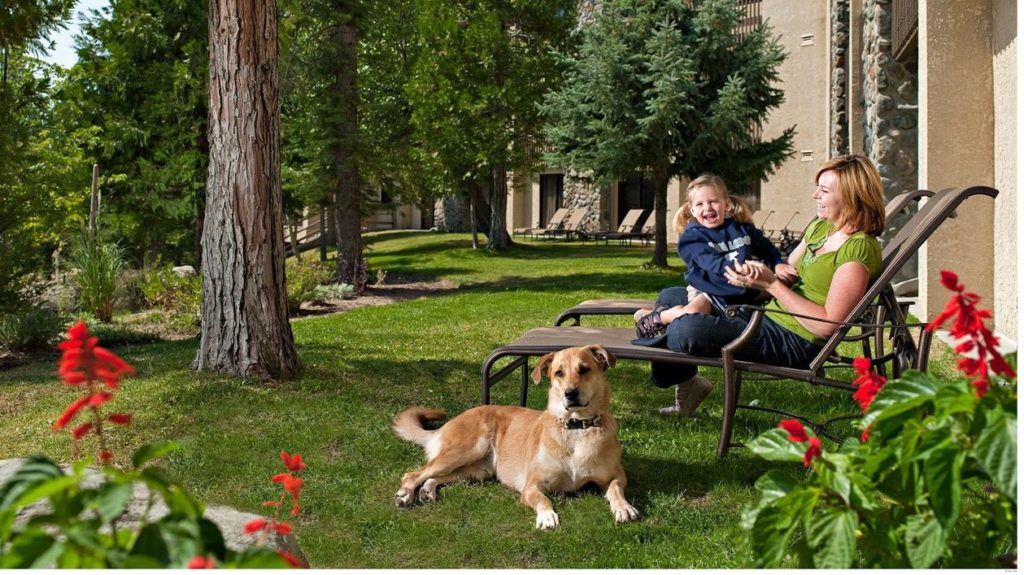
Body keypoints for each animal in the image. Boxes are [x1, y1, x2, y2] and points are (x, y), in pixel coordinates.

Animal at [391, 341, 638, 527]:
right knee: (413, 473)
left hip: (477, 470)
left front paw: (624, 507)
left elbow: (616, 490)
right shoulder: (532, 485)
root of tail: (450, 422)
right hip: (467, 449)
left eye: (584, 369)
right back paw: (405, 494)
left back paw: (427, 491)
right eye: (559, 373)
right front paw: (547, 516)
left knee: (434, 476)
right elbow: (542, 499)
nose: (570, 393)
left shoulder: (615, 476)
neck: (576, 428)